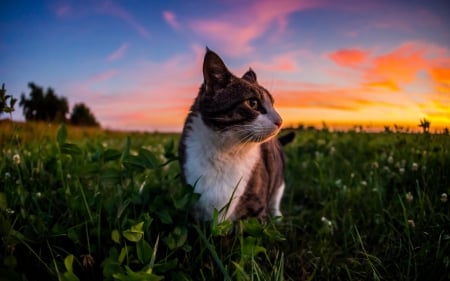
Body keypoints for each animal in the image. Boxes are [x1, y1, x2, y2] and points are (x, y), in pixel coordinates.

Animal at [178, 49, 290, 222]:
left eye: (273, 104)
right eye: (253, 103)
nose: (280, 121)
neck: (224, 152)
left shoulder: (255, 208)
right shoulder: (192, 197)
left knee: (276, 196)